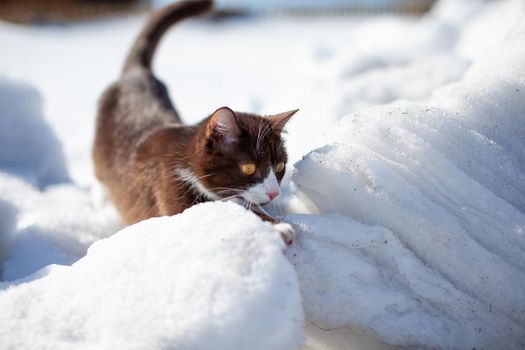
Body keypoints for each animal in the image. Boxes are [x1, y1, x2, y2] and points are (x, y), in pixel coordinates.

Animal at [92, 0, 296, 245]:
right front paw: (277, 228)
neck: (186, 161)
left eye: (280, 166)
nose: (275, 193)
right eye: (249, 167)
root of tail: (135, 73)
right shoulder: (169, 187)